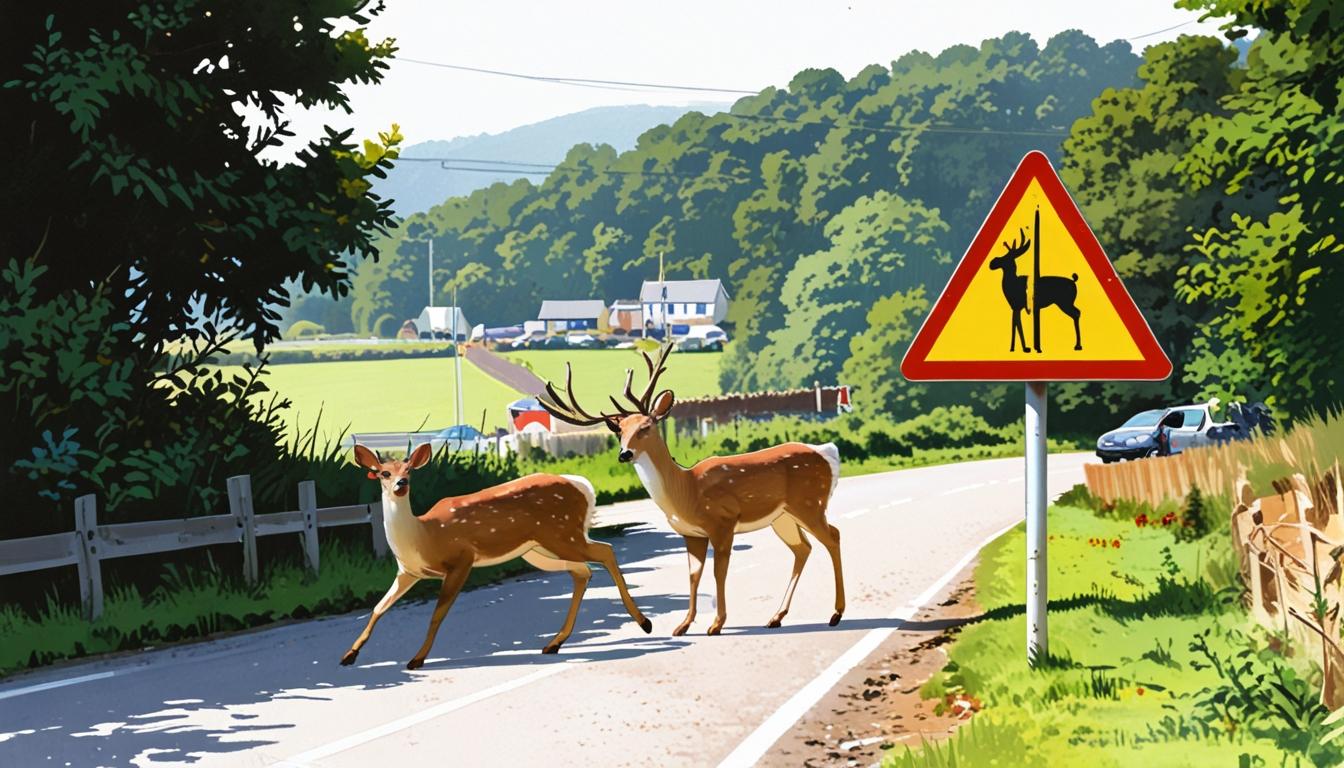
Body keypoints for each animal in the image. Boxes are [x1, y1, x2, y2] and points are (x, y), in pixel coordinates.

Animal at [343, 442, 652, 670]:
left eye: (409, 470)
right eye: (383, 473)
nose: (401, 484)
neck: (423, 536)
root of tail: (584, 487)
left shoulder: (462, 559)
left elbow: (437, 614)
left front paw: (417, 659)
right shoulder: (408, 572)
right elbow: (378, 608)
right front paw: (349, 655)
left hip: (562, 533)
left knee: (604, 551)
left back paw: (644, 622)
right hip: (541, 550)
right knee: (582, 571)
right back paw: (554, 643)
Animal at [538, 344, 845, 636]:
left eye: (646, 426)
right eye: (620, 431)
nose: (625, 454)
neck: (686, 491)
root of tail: (827, 452)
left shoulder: (723, 521)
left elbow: (719, 572)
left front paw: (717, 624)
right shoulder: (691, 534)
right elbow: (694, 575)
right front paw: (683, 625)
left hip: (809, 502)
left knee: (832, 536)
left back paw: (836, 613)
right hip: (783, 517)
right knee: (803, 548)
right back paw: (776, 617)